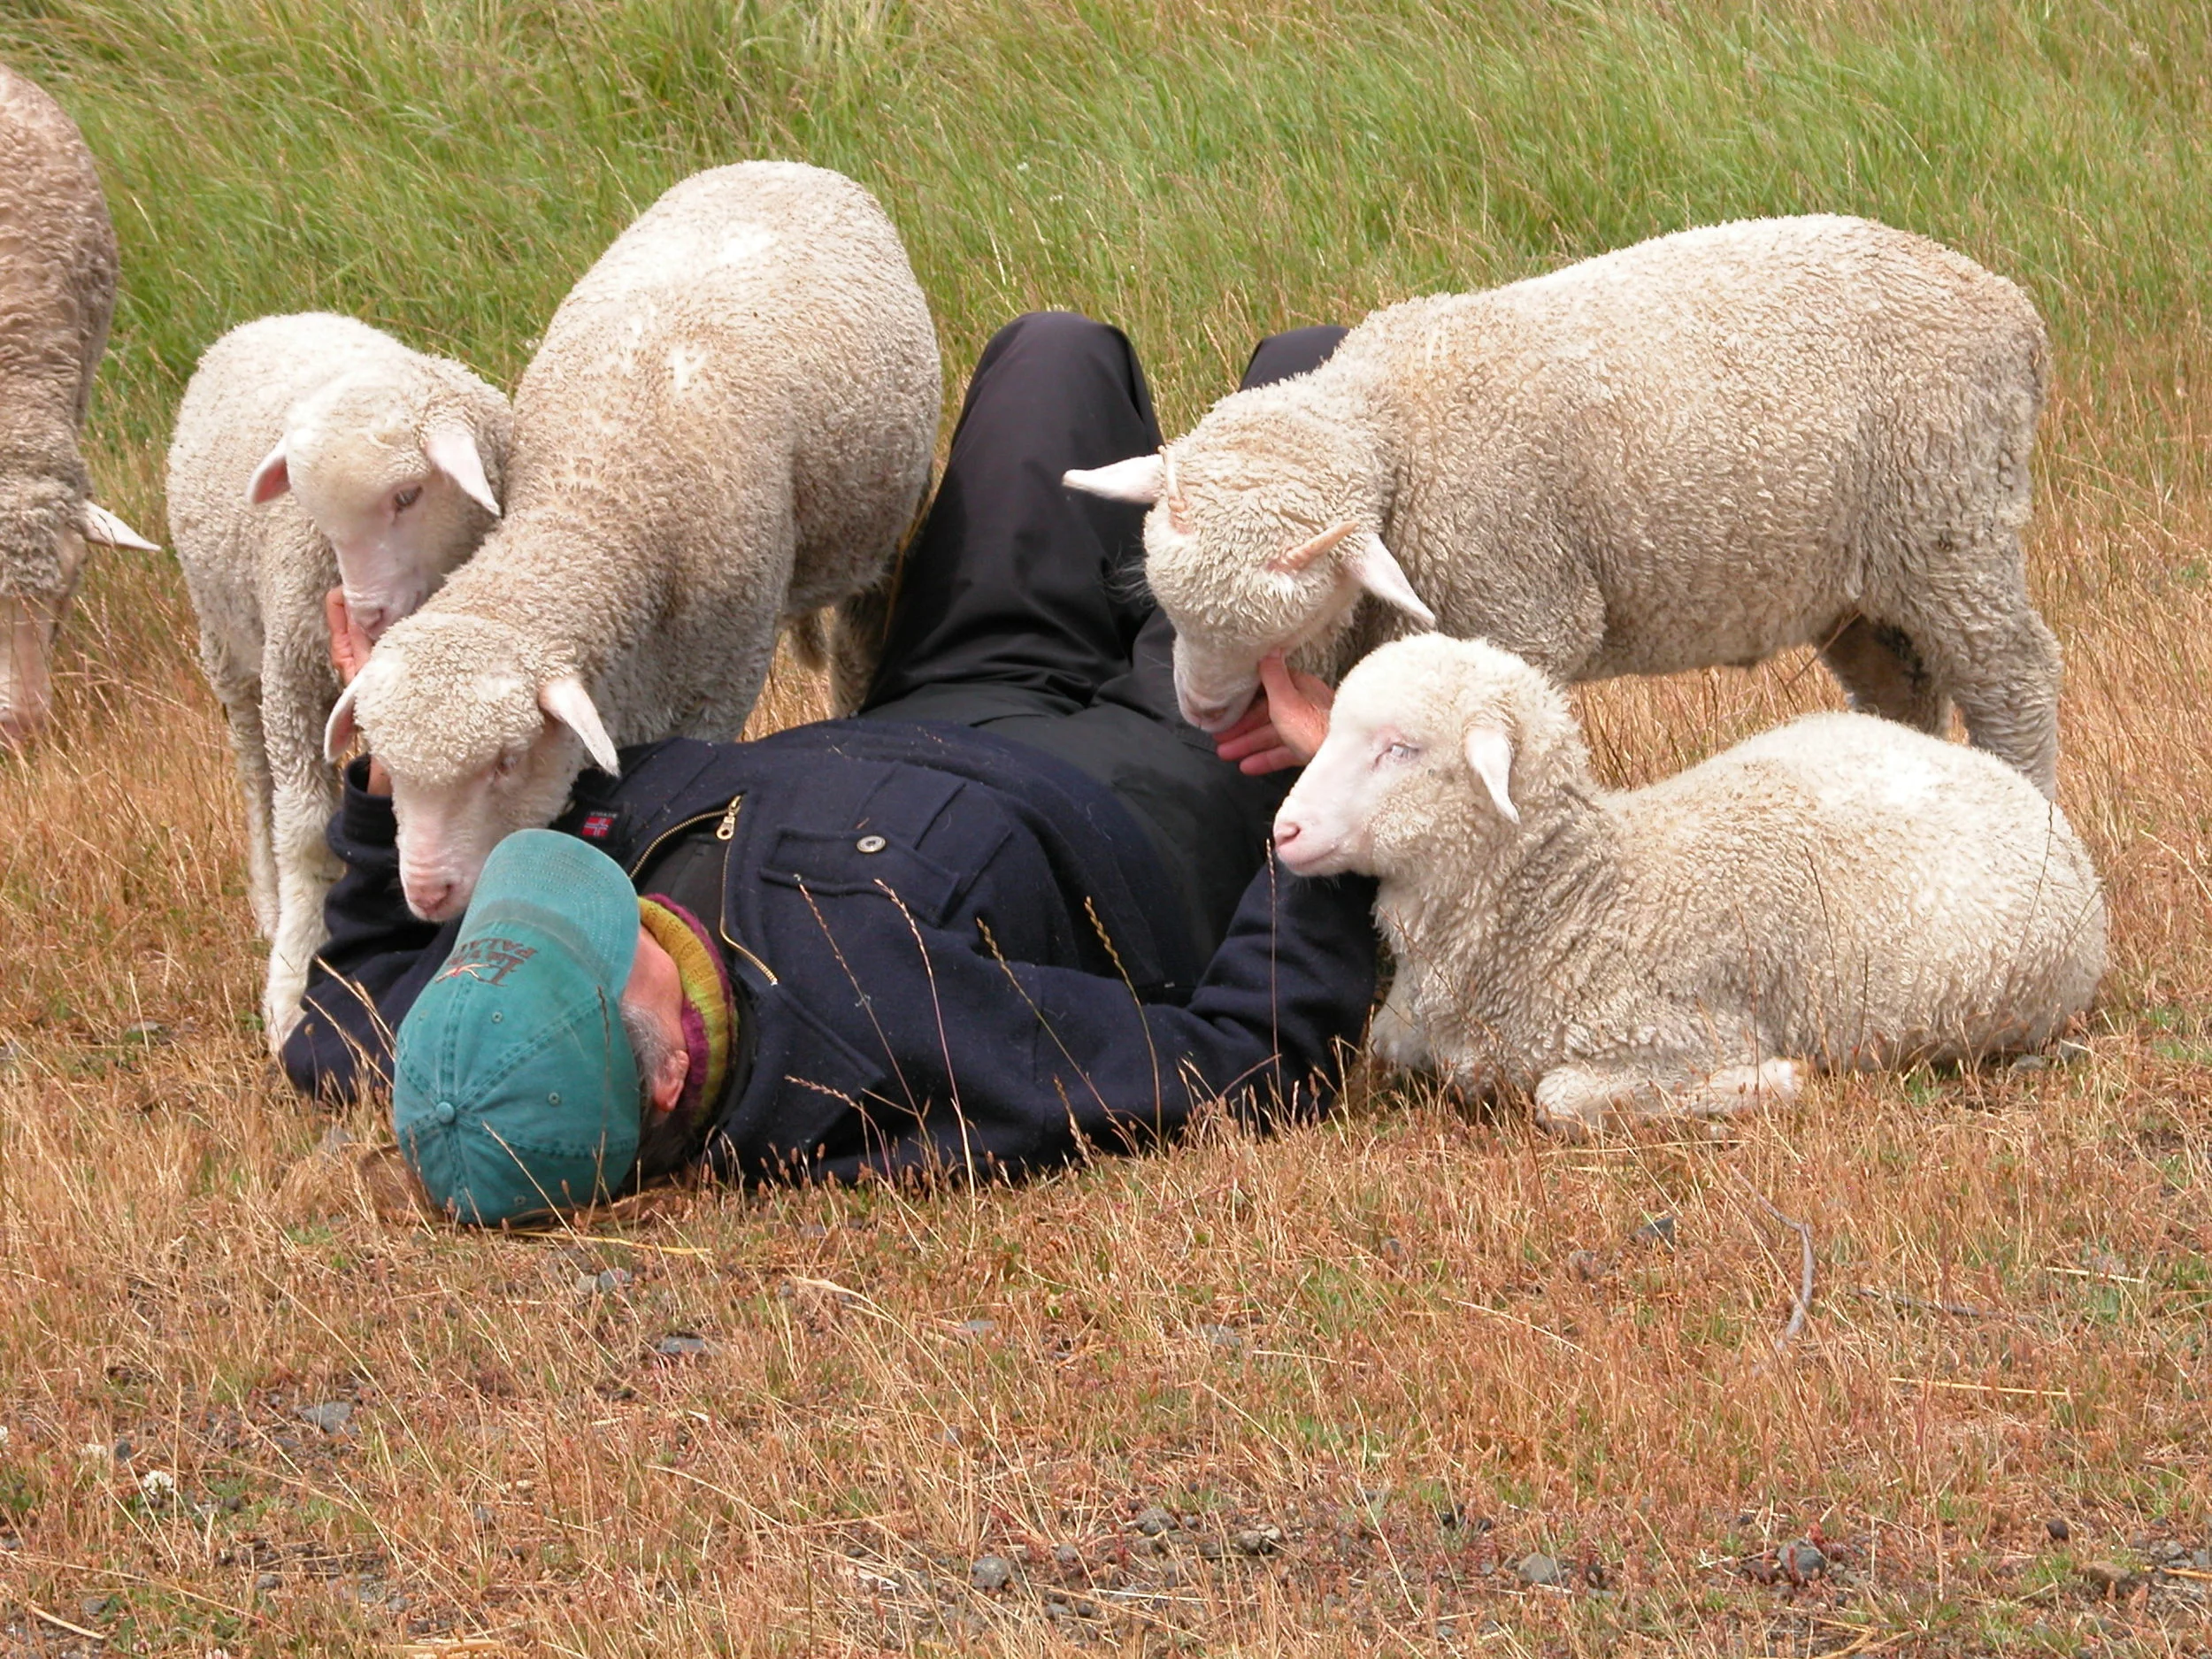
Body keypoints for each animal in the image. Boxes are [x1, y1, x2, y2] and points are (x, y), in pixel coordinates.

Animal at [166, 312, 511, 1047]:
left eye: (408, 495)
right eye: (316, 515)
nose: (364, 614)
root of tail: (277, 317)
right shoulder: (291, 676)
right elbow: (302, 833)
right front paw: (292, 983)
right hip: (230, 649)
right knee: (255, 781)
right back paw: (269, 905)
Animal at [325, 161, 940, 922]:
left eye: (505, 761)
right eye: (388, 764)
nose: (427, 894)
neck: (595, 498)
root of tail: (778, 163)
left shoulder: (718, 688)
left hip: (883, 529)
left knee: (857, 650)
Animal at [1065, 215, 2063, 797]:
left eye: (1291, 623)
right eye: (1169, 606)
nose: (1200, 712)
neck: (1395, 426)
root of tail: (2010, 307)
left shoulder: (1522, 610)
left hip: (1950, 514)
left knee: (2011, 675)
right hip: (1853, 573)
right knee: (1900, 682)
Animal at [1272, 634, 2106, 1136]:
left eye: (1401, 749)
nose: (1284, 830)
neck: (1581, 899)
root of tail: (2024, 794)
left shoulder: (1687, 1031)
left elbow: (1558, 1097)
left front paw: (1769, 1082)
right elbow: (1386, 1042)